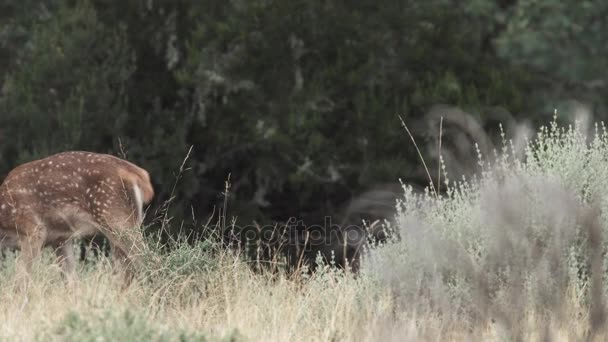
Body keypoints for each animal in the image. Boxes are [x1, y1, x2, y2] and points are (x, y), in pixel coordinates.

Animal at [0, 152, 154, 280]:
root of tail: (140, 175)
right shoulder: (60, 239)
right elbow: (71, 281)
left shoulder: (32, 230)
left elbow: (23, 278)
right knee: (128, 270)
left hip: (116, 220)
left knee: (148, 260)